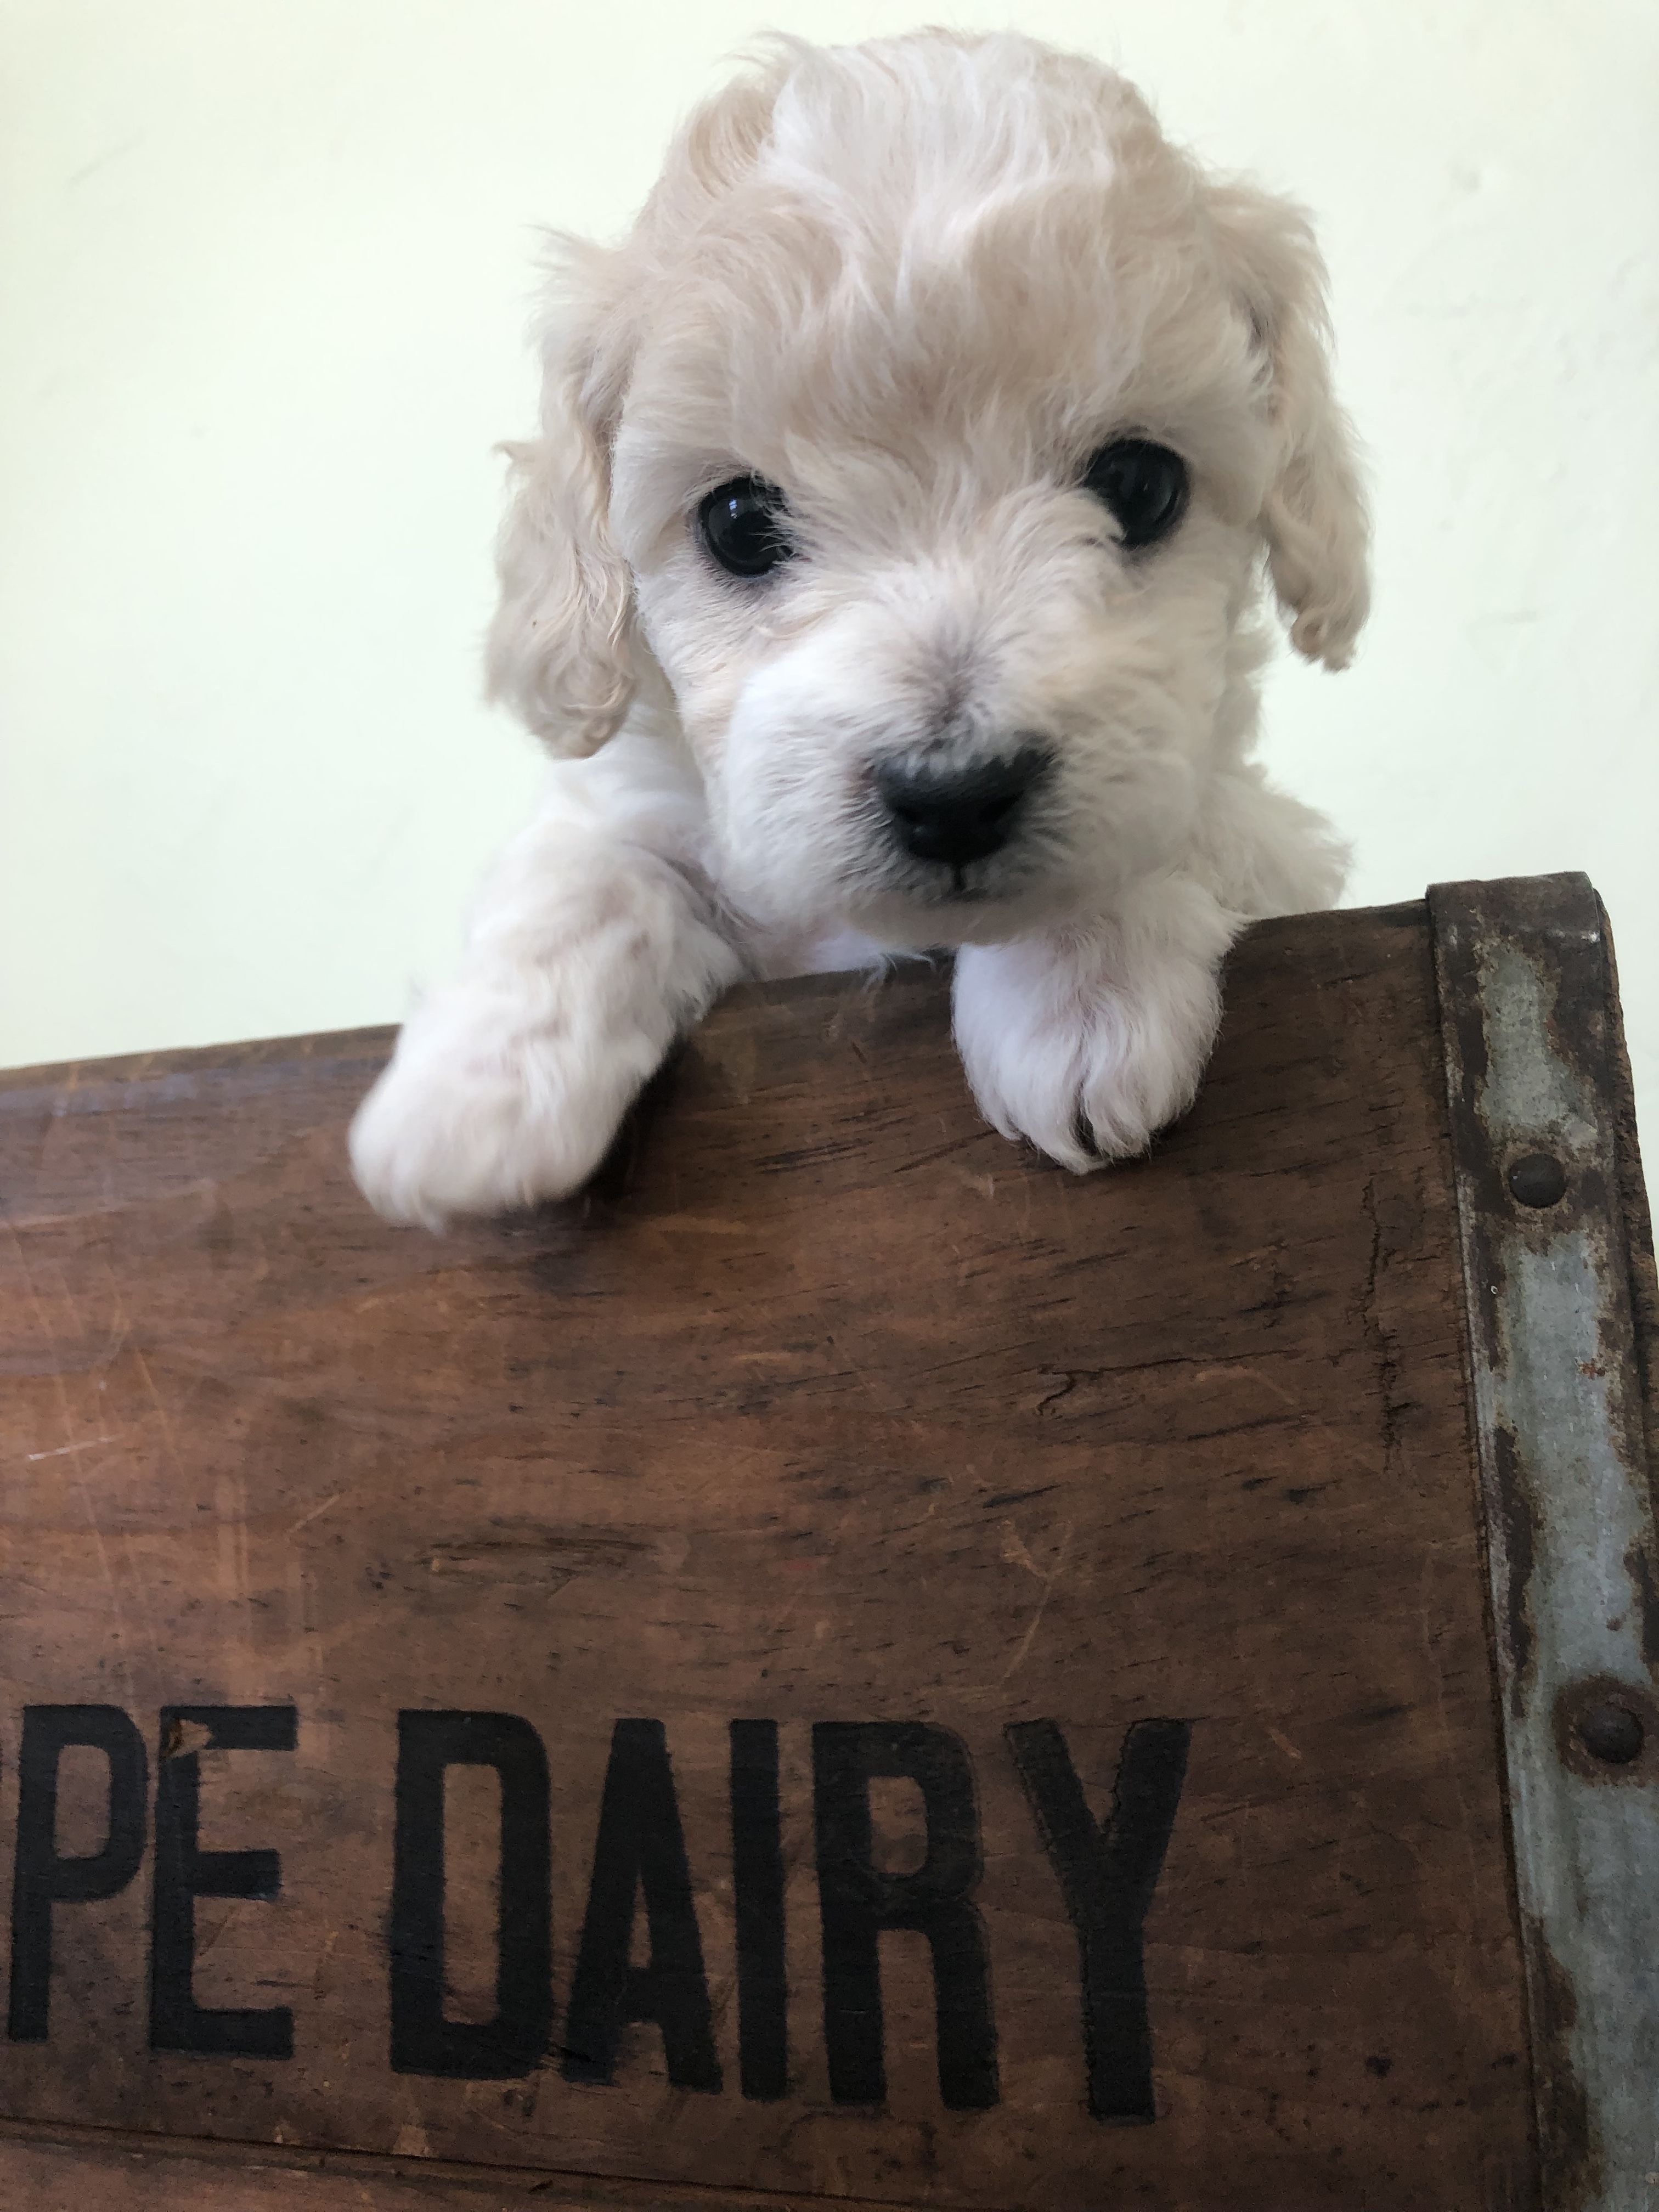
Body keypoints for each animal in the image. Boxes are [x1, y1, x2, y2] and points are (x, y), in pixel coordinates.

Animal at [350, 29, 1368, 1229]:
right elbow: (590, 870)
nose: (955, 793)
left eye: (1140, 484)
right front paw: (472, 1103)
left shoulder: (1270, 846)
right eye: (738, 523)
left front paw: (1081, 998)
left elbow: (1176, 816)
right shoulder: (659, 807)